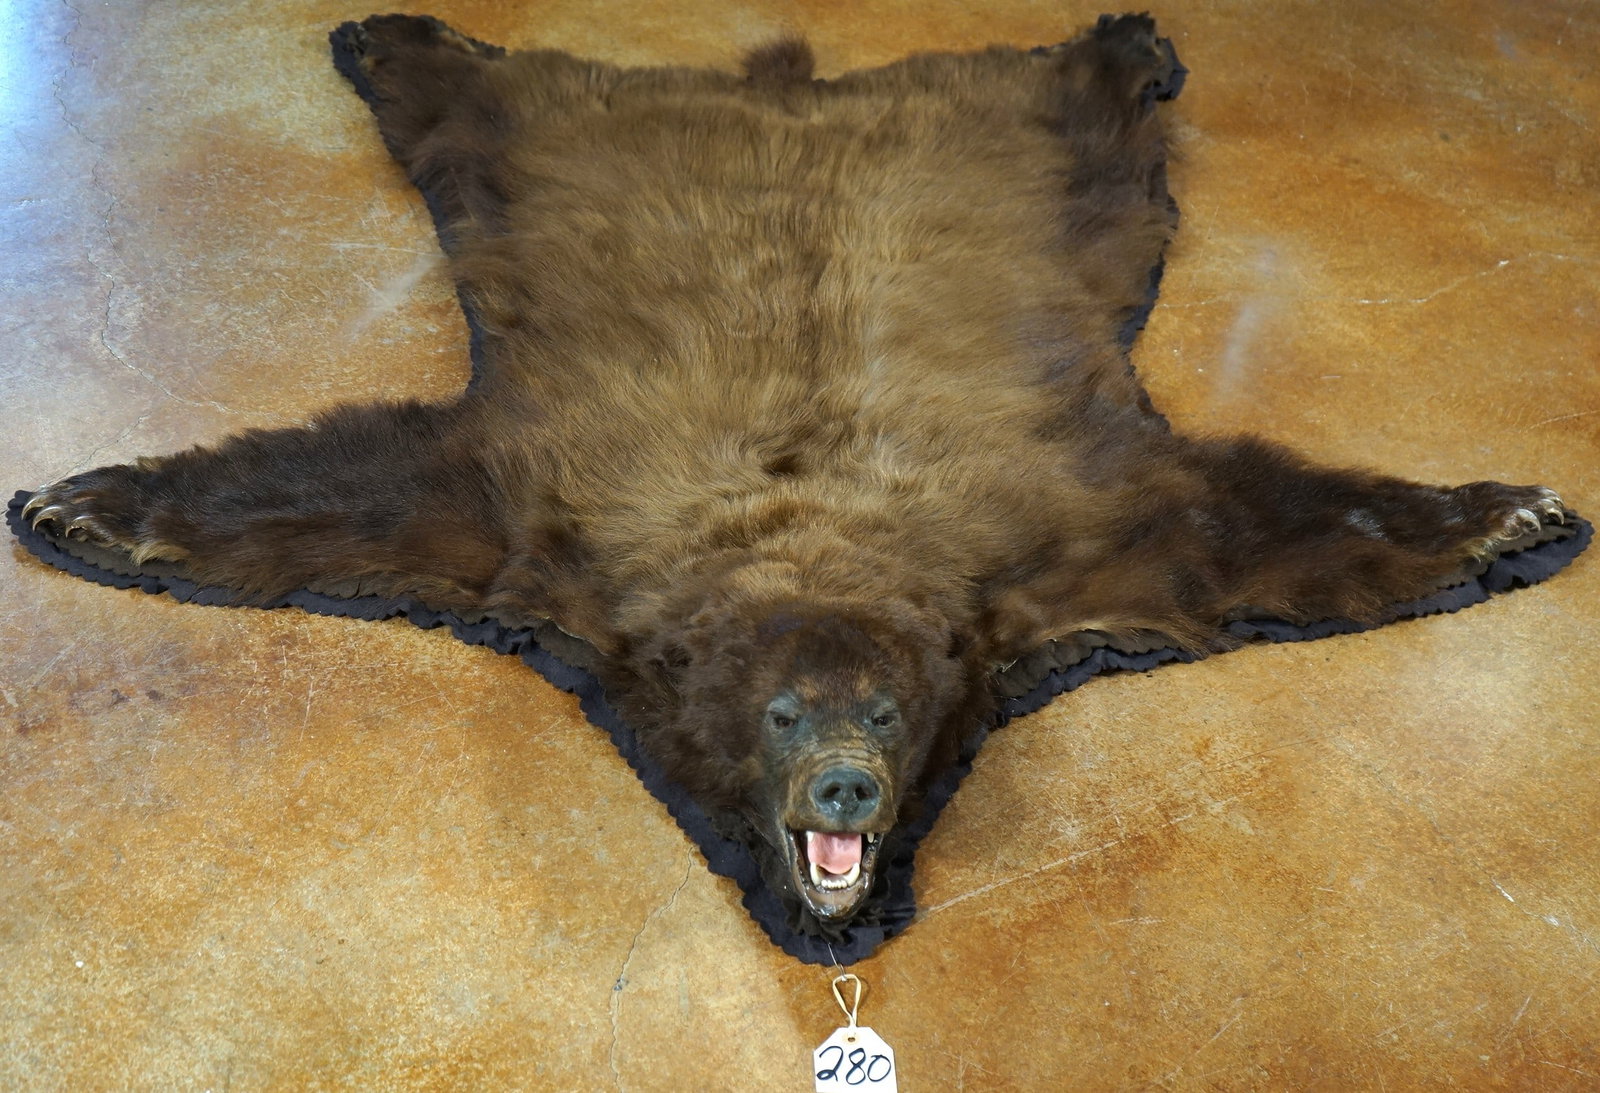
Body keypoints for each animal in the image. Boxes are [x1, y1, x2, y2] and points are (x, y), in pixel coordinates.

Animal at [20, 13, 1572, 932]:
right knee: (468, 93)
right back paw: (387, 33)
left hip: (1042, 149)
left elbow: (1243, 518)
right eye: (781, 715)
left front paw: (1513, 515)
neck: (809, 519)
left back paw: (1124, 37)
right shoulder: (537, 516)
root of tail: (787, 87)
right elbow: (341, 490)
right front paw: (77, 505)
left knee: (1086, 102)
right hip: (537, 138)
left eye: (881, 713)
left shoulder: (1070, 525)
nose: (843, 792)